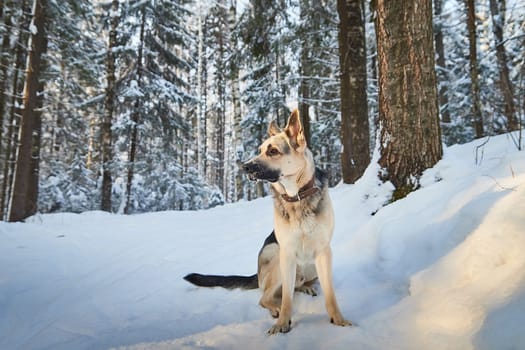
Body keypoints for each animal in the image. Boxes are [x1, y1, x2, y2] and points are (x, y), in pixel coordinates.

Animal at [184, 109, 352, 334]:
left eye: (273, 151)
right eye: (260, 150)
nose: (245, 167)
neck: (297, 196)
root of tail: (256, 274)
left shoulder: (323, 252)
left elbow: (330, 294)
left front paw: (339, 320)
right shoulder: (287, 253)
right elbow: (287, 300)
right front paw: (282, 323)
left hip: (311, 267)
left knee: (295, 286)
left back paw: (305, 287)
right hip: (275, 254)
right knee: (265, 297)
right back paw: (275, 308)